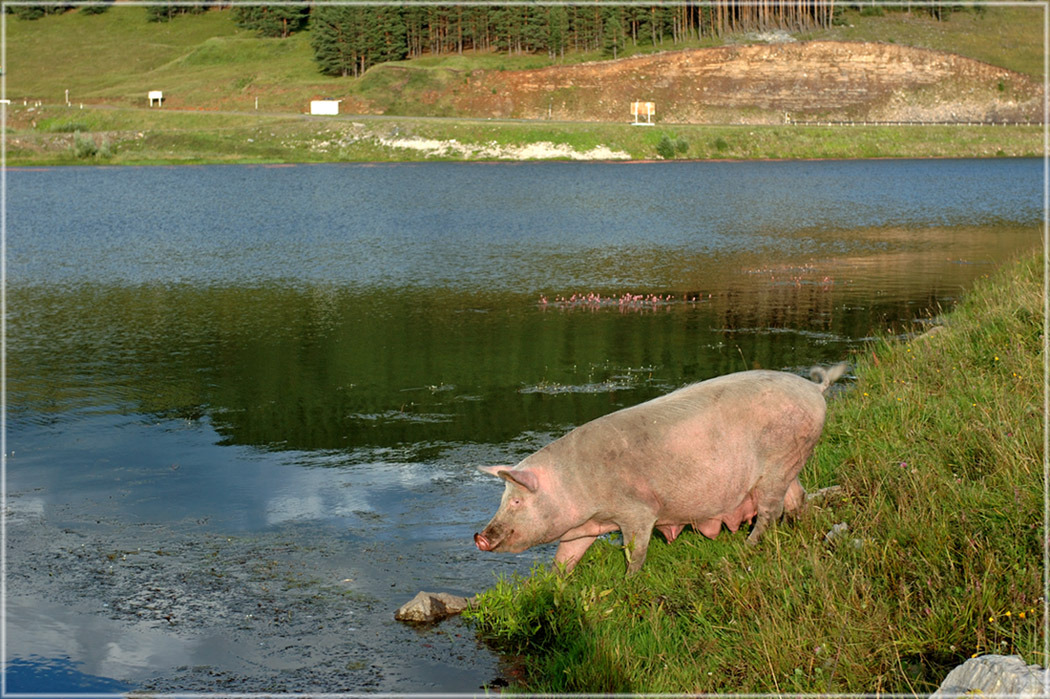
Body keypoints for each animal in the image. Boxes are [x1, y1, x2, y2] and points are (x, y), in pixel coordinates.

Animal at [474, 365, 844, 570]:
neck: (575, 485)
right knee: (797, 499)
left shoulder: (639, 510)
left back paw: (746, 548)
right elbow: (564, 558)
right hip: (791, 463)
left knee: (770, 512)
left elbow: (636, 550)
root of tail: (815, 388)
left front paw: (628, 579)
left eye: (517, 500)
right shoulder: (586, 528)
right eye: (502, 499)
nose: (479, 537)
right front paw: (556, 585)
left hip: (776, 465)